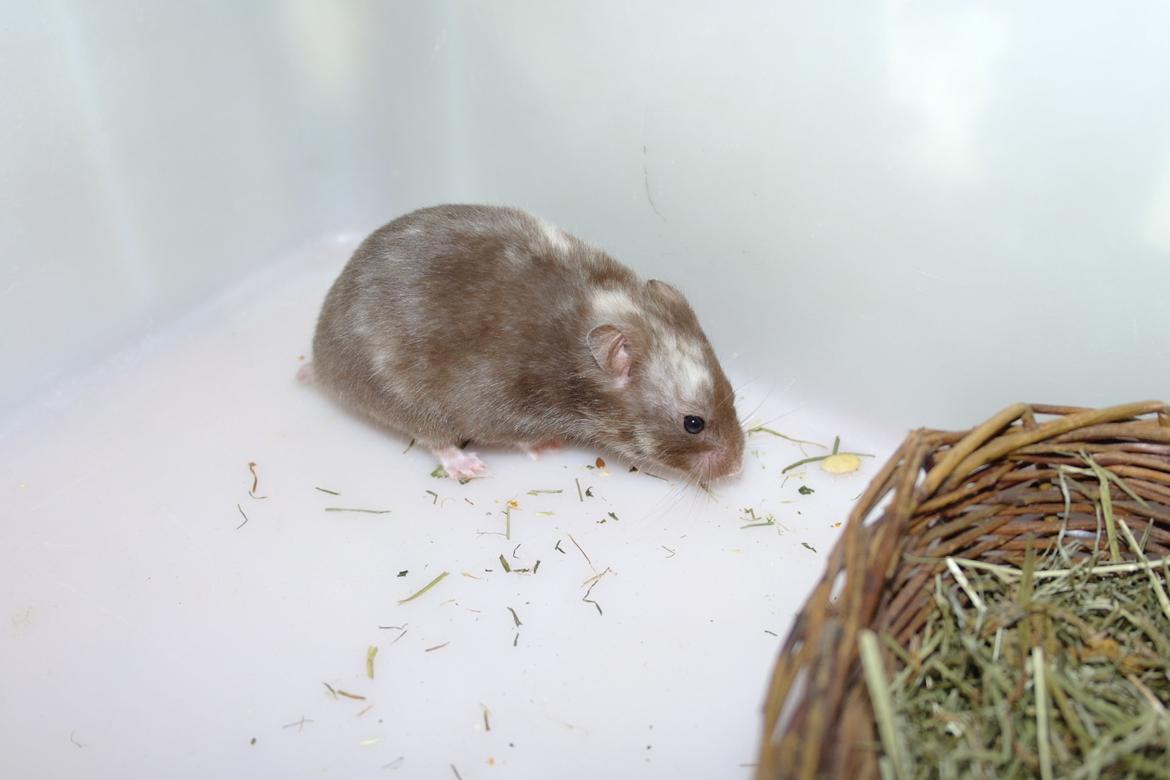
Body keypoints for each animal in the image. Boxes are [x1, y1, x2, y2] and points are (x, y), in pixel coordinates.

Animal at [306, 204, 744, 482]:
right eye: (693, 423)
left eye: (734, 393)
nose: (740, 468)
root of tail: (319, 355)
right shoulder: (497, 408)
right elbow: (517, 436)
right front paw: (548, 447)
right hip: (410, 403)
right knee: (436, 440)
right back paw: (470, 466)